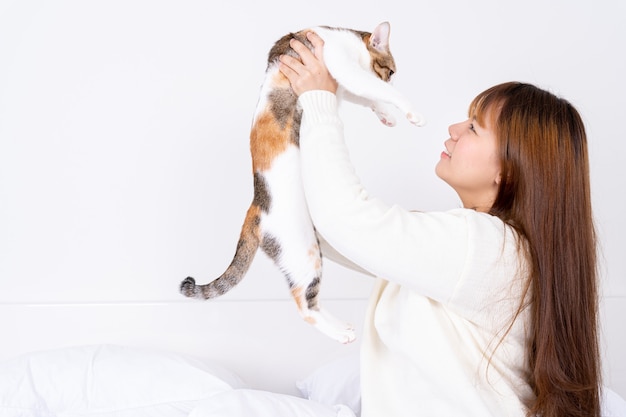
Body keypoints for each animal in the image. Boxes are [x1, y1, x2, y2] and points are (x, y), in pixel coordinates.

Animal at [180, 21, 424, 342]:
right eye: (392, 72)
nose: (393, 80)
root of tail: (255, 208)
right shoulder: (343, 66)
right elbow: (372, 88)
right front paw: (409, 111)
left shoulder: (340, 84)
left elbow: (366, 96)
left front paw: (386, 115)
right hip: (303, 250)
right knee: (303, 303)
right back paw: (340, 334)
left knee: (310, 299)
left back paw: (342, 327)